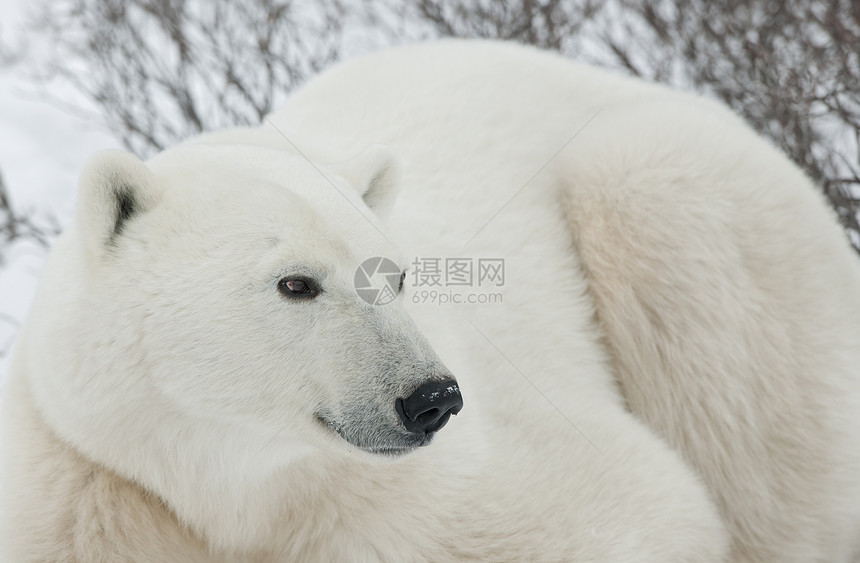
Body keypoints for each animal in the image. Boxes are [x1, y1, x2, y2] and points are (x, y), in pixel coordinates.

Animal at [1, 40, 860, 563]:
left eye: (398, 274)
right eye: (295, 282)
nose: (431, 398)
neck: (231, 490)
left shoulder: (424, 499)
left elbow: (641, 505)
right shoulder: (89, 493)